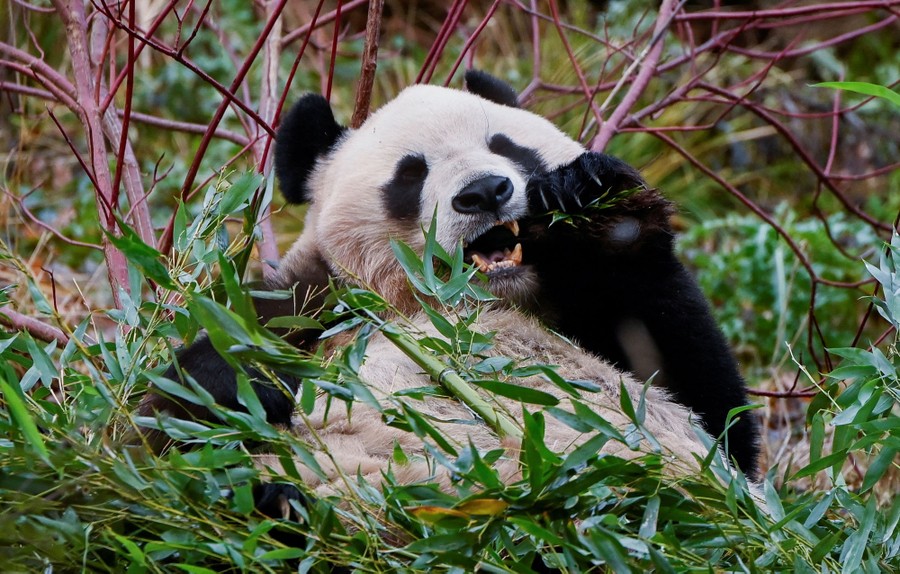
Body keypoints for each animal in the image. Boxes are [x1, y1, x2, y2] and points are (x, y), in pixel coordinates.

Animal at [141, 70, 758, 517]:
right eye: (410, 174)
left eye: (507, 145)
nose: (485, 191)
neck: (463, 305)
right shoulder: (319, 305)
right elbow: (161, 423)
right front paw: (248, 379)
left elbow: (714, 416)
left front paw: (594, 202)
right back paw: (279, 504)